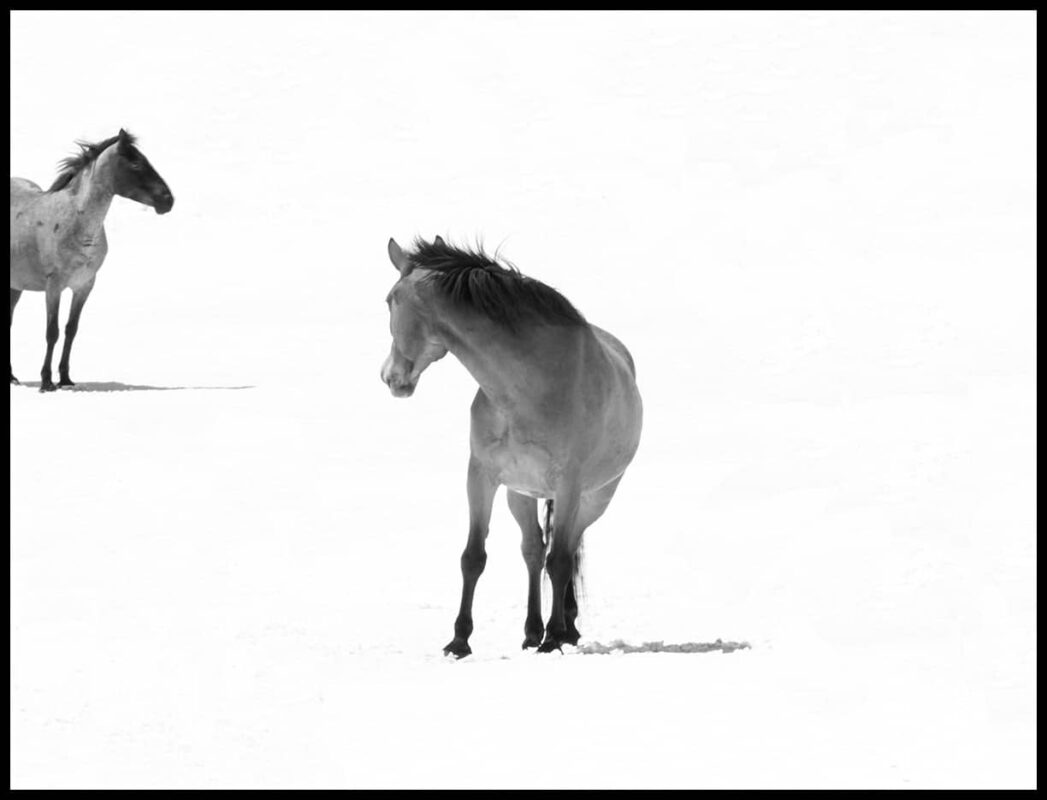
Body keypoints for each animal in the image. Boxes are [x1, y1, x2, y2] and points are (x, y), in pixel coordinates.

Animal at [10, 129, 173, 391]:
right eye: (136, 164)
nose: (168, 200)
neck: (76, 224)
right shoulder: (53, 286)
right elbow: (52, 331)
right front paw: (46, 382)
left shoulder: (84, 286)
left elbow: (71, 329)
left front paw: (65, 379)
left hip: (15, 286)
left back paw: (12, 376)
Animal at [380, 236, 643, 656]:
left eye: (389, 300)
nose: (390, 377)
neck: (527, 387)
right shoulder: (481, 476)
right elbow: (473, 557)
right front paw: (459, 640)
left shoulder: (568, 486)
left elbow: (560, 561)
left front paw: (554, 638)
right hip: (520, 494)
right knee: (534, 550)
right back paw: (532, 630)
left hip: (595, 499)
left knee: (566, 550)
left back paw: (564, 628)